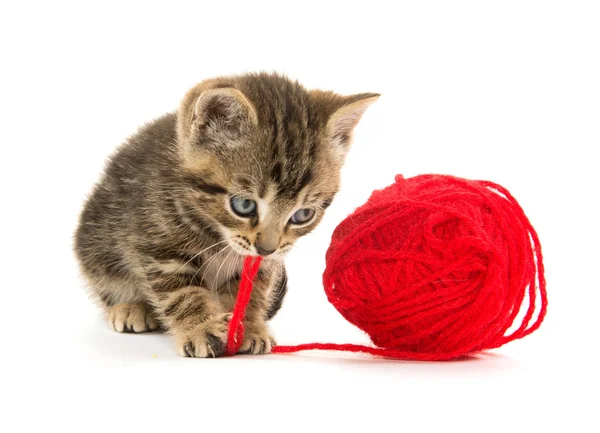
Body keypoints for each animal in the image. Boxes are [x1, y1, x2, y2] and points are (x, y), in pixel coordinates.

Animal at [72, 72, 378, 356]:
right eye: (244, 205)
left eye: (302, 214)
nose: (266, 248)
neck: (214, 229)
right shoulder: (159, 247)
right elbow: (182, 292)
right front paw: (201, 328)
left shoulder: (262, 264)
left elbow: (250, 292)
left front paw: (249, 326)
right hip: (96, 245)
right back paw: (130, 307)